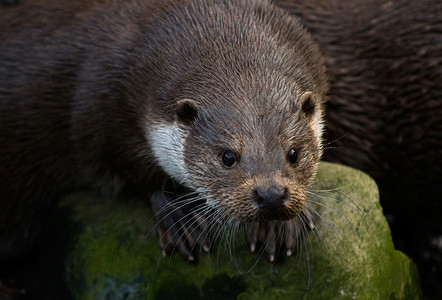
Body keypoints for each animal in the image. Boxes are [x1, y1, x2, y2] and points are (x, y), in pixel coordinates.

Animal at [0, 0, 324, 264]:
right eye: (227, 157)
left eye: (293, 153)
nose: (271, 194)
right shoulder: (100, 105)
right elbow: (130, 162)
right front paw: (177, 215)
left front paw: (281, 225)